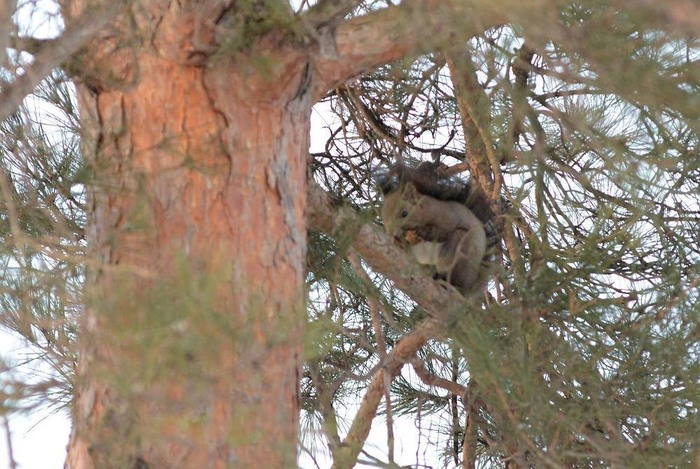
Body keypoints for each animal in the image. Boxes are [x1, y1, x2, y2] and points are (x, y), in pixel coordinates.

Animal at [378, 161, 492, 292]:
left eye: (405, 213)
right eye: (384, 218)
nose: (394, 233)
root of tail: (471, 282)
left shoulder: (446, 217)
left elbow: (444, 231)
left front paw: (425, 232)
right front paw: (399, 240)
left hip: (460, 248)